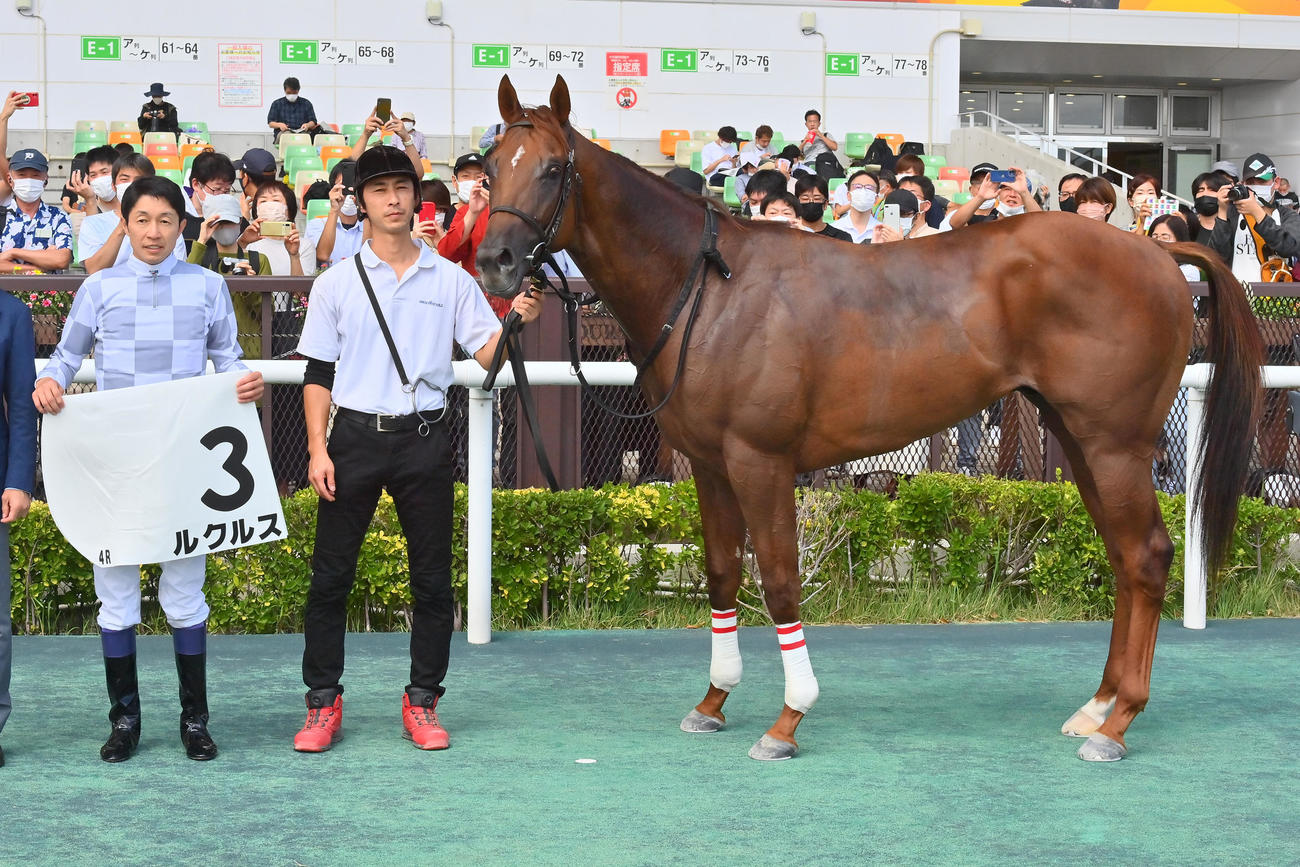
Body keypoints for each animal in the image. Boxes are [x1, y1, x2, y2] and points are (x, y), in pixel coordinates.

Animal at [477, 74, 1263, 762]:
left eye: (552, 168)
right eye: (490, 168)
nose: (495, 260)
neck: (710, 290)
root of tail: (1157, 251)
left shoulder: (760, 460)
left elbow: (780, 578)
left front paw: (788, 718)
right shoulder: (708, 464)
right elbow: (722, 574)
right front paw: (713, 701)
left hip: (1115, 443)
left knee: (1147, 555)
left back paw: (1121, 720)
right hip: (1076, 436)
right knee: (1124, 558)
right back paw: (1096, 707)